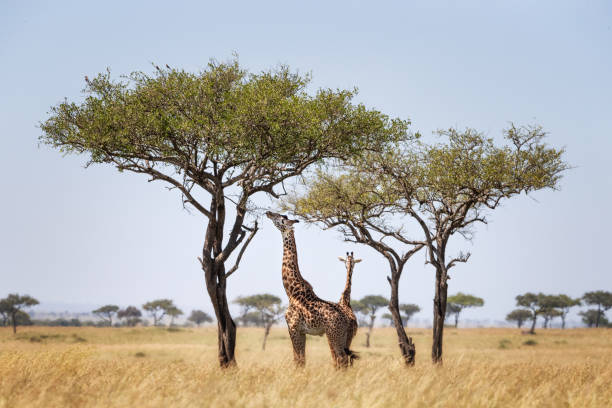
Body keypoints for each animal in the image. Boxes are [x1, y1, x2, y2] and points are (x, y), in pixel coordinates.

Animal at [266, 212, 358, 368]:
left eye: (281, 218)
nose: (268, 213)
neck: (291, 292)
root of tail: (348, 319)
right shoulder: (302, 331)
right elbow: (302, 359)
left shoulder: (293, 328)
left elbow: (297, 360)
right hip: (343, 336)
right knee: (345, 360)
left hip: (334, 334)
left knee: (341, 359)